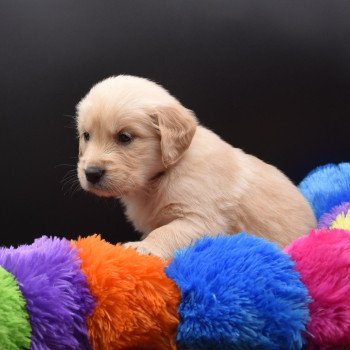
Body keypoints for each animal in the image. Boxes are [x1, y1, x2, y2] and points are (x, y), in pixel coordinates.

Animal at [76, 75, 318, 258]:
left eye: (125, 137)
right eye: (86, 136)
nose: (91, 173)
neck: (163, 175)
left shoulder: (200, 219)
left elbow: (167, 232)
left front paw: (143, 247)